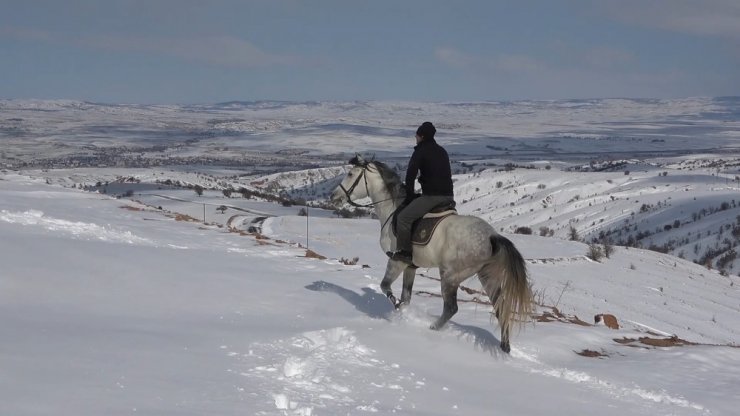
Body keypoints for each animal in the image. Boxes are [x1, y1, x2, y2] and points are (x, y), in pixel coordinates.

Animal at [330, 154, 532, 352]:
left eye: (350, 174)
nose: (334, 196)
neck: (392, 209)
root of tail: (492, 236)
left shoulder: (397, 261)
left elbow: (385, 286)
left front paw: (397, 309)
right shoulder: (410, 266)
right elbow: (406, 297)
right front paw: (402, 311)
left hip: (450, 276)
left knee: (451, 308)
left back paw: (432, 328)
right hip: (488, 276)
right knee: (500, 307)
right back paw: (505, 346)